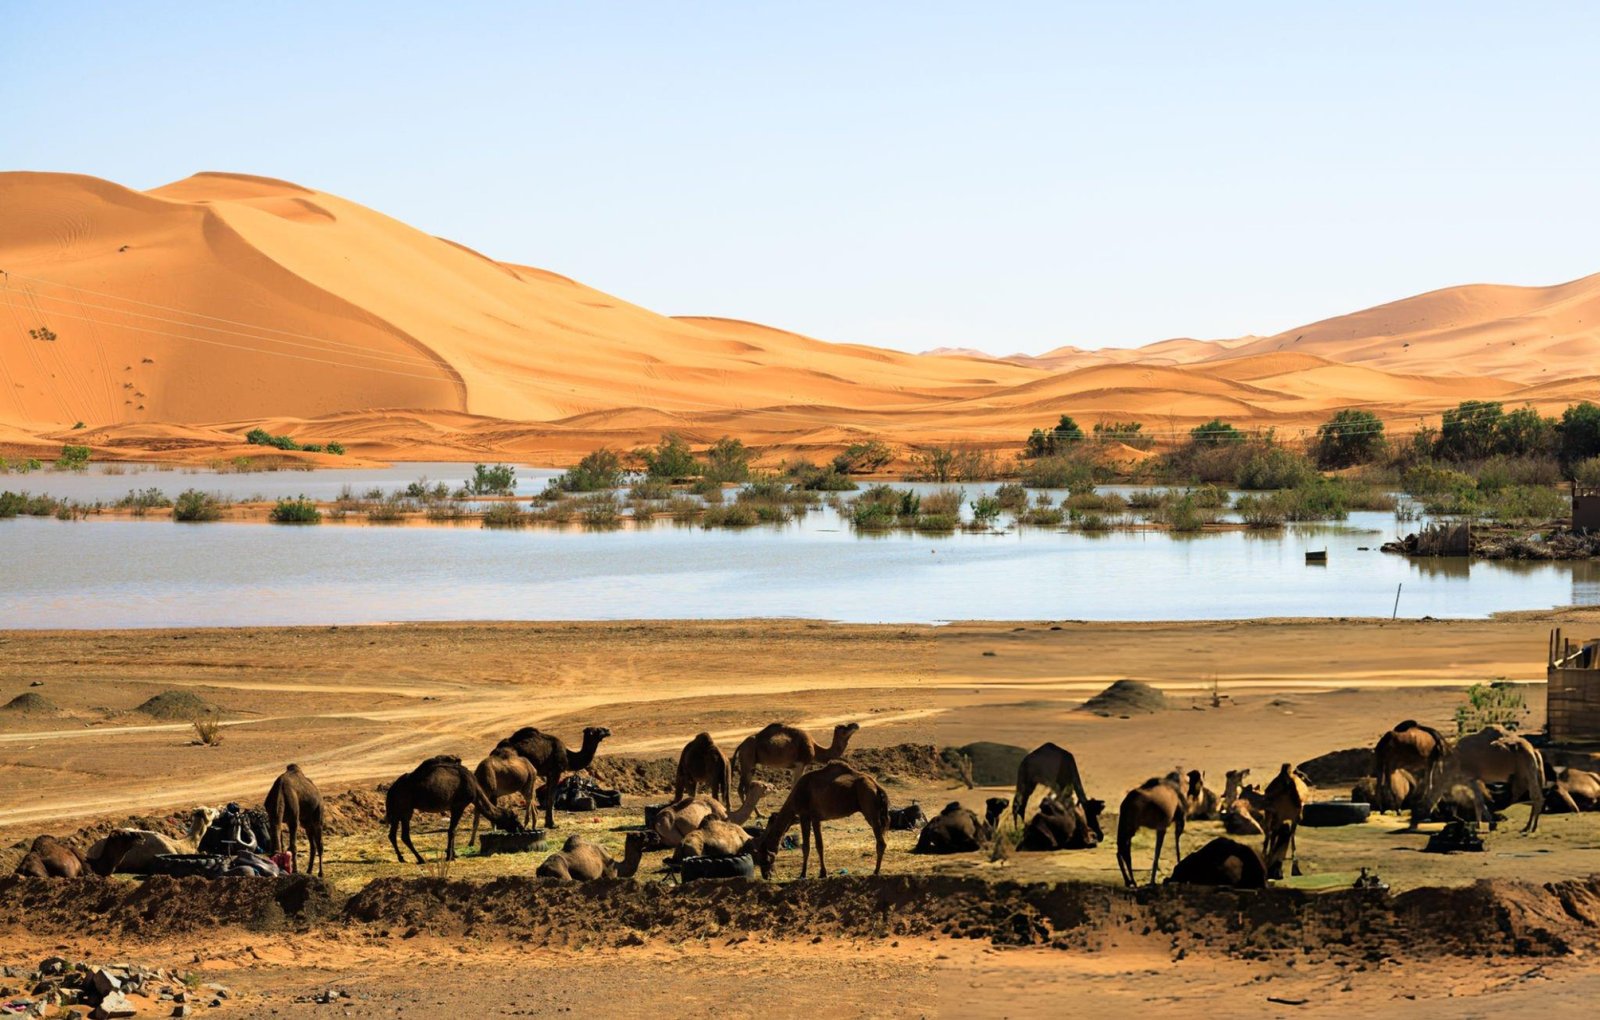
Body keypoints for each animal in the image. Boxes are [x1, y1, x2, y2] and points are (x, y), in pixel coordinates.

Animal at [385, 755, 522, 864]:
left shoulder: (453, 807)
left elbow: (452, 830)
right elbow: (452, 830)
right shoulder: (459, 805)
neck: (475, 789)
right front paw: (450, 857)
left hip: (398, 810)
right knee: (404, 835)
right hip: (405, 808)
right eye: (514, 818)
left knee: (392, 834)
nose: (521, 828)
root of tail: (392, 789)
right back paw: (420, 859)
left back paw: (402, 858)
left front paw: (452, 854)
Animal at [752, 761, 889, 879]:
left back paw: (876, 871)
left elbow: (807, 846)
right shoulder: (815, 818)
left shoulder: (806, 816)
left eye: (763, 858)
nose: (765, 875)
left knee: (881, 842)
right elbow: (819, 845)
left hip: (869, 807)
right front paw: (822, 873)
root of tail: (877, 786)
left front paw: (803, 874)